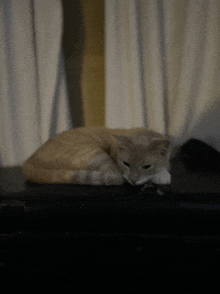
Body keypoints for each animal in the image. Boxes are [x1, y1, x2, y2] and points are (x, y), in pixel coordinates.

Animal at [22, 126, 171, 186]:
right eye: (126, 163)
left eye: (146, 166)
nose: (133, 180)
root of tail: (29, 163)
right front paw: (161, 176)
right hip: (94, 154)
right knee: (114, 178)